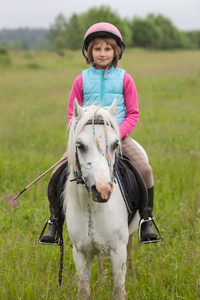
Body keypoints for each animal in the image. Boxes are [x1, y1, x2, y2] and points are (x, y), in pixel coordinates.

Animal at [63, 100, 143, 300]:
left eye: (115, 144)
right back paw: (101, 281)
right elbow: (83, 291)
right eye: (80, 145)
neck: (92, 207)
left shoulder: (118, 252)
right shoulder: (80, 252)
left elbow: (119, 291)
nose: (103, 190)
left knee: (131, 245)